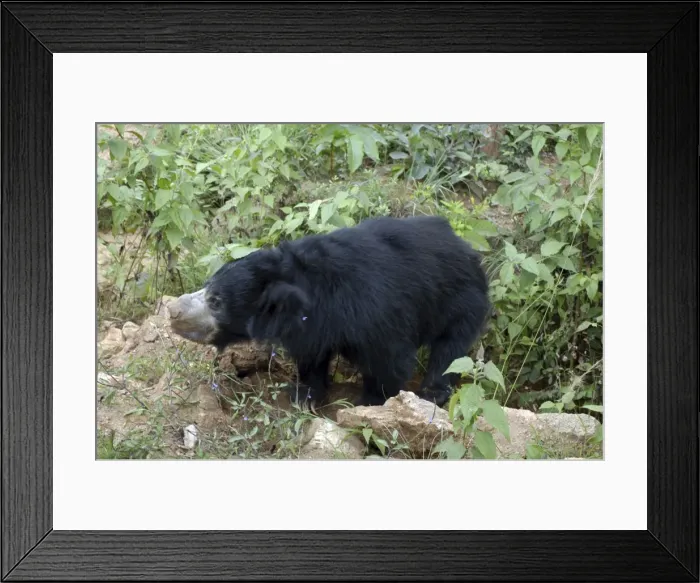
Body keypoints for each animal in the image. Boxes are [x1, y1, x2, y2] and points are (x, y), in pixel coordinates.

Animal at [168, 215, 491, 409]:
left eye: (216, 301)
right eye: (206, 286)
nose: (173, 309)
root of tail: (468, 248)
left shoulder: (373, 315)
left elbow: (390, 362)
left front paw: (370, 404)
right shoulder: (313, 326)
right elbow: (312, 358)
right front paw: (305, 396)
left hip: (462, 301)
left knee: (450, 350)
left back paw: (433, 392)